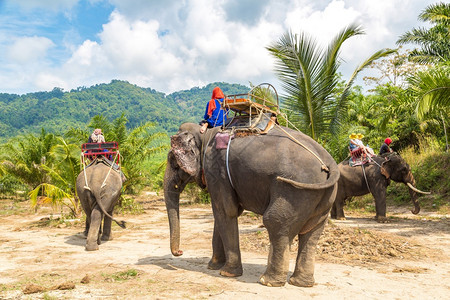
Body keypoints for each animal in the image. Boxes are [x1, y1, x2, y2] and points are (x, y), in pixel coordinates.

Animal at [163, 122, 340, 288]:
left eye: (173, 162)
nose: (179, 252)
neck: (205, 134)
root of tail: (328, 161)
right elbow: (221, 214)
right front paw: (213, 266)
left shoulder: (216, 172)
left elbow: (226, 211)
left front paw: (227, 273)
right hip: (323, 195)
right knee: (313, 231)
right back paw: (301, 283)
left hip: (294, 190)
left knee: (275, 222)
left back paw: (268, 281)